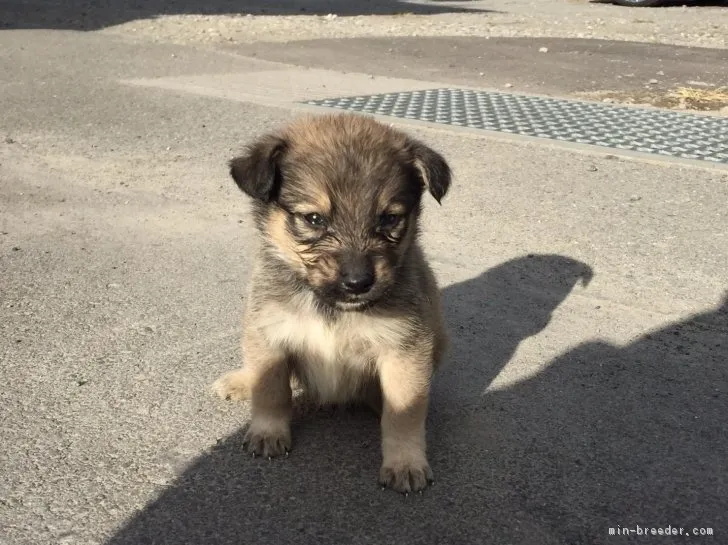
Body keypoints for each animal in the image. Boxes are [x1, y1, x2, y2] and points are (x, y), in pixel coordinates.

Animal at [210, 111, 450, 492]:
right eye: (314, 219)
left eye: (389, 219)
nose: (358, 283)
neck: (330, 309)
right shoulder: (270, 333)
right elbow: (272, 389)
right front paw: (267, 432)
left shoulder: (406, 349)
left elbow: (404, 412)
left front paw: (405, 462)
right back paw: (240, 381)